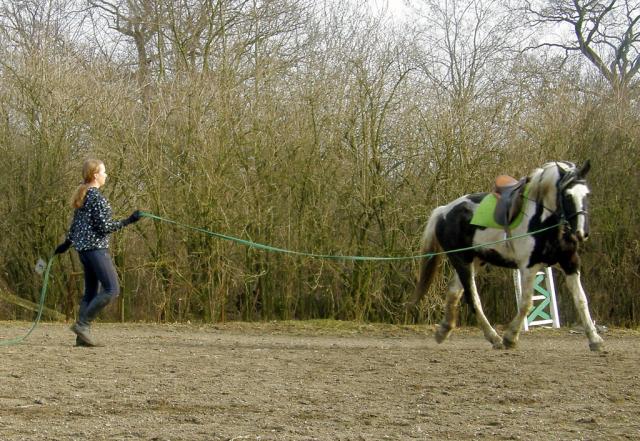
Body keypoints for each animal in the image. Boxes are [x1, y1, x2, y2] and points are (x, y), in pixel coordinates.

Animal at [408, 161, 604, 350]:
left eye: (587, 194)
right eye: (568, 195)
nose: (581, 232)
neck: (543, 221)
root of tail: (443, 211)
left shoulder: (570, 263)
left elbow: (581, 300)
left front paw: (595, 340)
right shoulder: (528, 267)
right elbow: (526, 304)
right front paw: (510, 337)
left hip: (476, 261)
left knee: (454, 291)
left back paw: (444, 331)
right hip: (461, 261)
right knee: (473, 299)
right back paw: (494, 337)